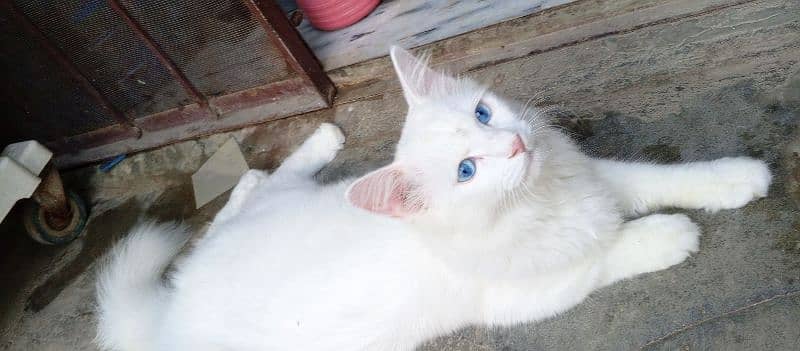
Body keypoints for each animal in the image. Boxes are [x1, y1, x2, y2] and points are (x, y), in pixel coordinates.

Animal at [97, 46, 772, 351]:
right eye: (467, 172)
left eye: (483, 113)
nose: (514, 144)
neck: (536, 201)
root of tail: (171, 312)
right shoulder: (529, 293)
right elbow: (609, 253)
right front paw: (667, 234)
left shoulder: (599, 180)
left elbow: (661, 177)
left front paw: (736, 177)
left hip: (278, 207)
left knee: (251, 197)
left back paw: (309, 146)